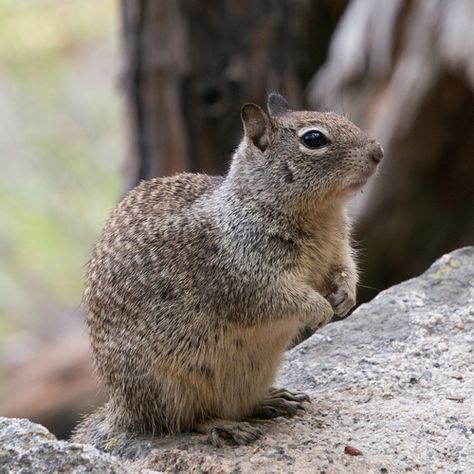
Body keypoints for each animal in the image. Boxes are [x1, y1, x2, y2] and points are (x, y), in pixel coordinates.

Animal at [75, 93, 386, 448]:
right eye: (313, 139)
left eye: (341, 117)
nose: (378, 151)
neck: (321, 216)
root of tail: (121, 410)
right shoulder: (247, 276)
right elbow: (281, 298)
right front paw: (320, 310)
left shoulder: (338, 249)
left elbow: (346, 268)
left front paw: (345, 297)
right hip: (168, 387)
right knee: (183, 420)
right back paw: (227, 426)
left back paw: (274, 400)